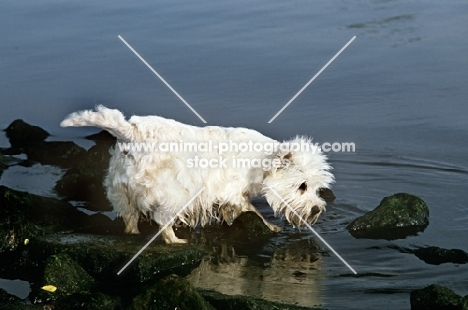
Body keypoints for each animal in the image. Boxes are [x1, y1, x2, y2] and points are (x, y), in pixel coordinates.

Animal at [60, 106, 334, 245]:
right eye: (302, 185)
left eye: (316, 188)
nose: (316, 209)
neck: (261, 161)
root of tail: (130, 134)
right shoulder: (231, 190)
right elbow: (251, 209)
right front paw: (269, 225)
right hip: (172, 195)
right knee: (162, 221)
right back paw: (176, 240)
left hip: (122, 192)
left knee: (130, 220)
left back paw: (135, 234)